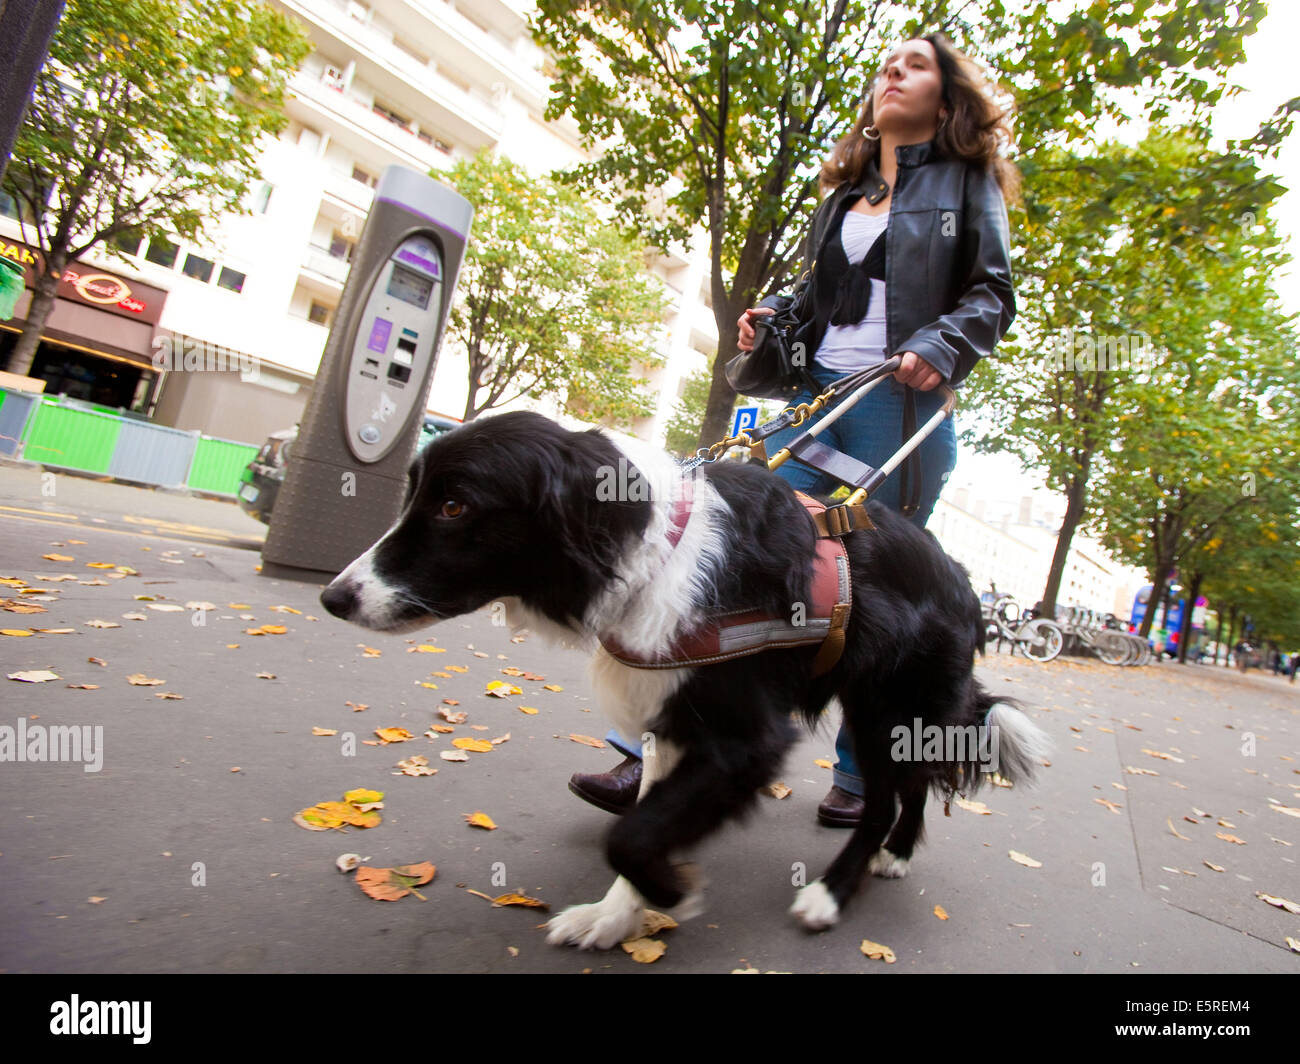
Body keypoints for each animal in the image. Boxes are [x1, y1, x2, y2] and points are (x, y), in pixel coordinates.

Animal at [319, 405, 1050, 946]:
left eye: (455, 508)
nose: (333, 597)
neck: (651, 551)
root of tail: (965, 581)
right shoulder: (669, 717)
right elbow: (642, 816)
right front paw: (614, 919)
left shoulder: (746, 739)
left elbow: (629, 834)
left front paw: (672, 891)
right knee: (914, 785)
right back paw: (893, 855)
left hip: (886, 708)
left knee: (883, 800)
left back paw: (832, 892)